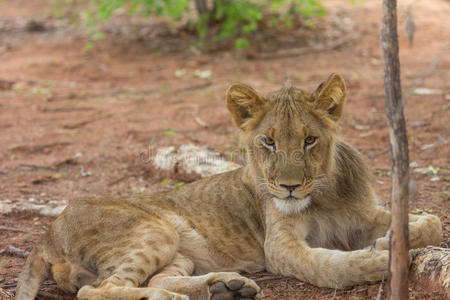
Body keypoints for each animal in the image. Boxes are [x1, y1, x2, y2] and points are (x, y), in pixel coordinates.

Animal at [15, 73, 442, 300]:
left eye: (309, 140)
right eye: (268, 142)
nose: (289, 188)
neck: (324, 194)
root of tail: (47, 233)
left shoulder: (364, 214)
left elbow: (432, 223)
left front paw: (400, 236)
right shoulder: (278, 247)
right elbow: (331, 265)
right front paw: (381, 257)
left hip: (178, 251)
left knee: (156, 277)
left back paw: (225, 287)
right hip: (155, 231)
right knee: (100, 290)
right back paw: (175, 296)